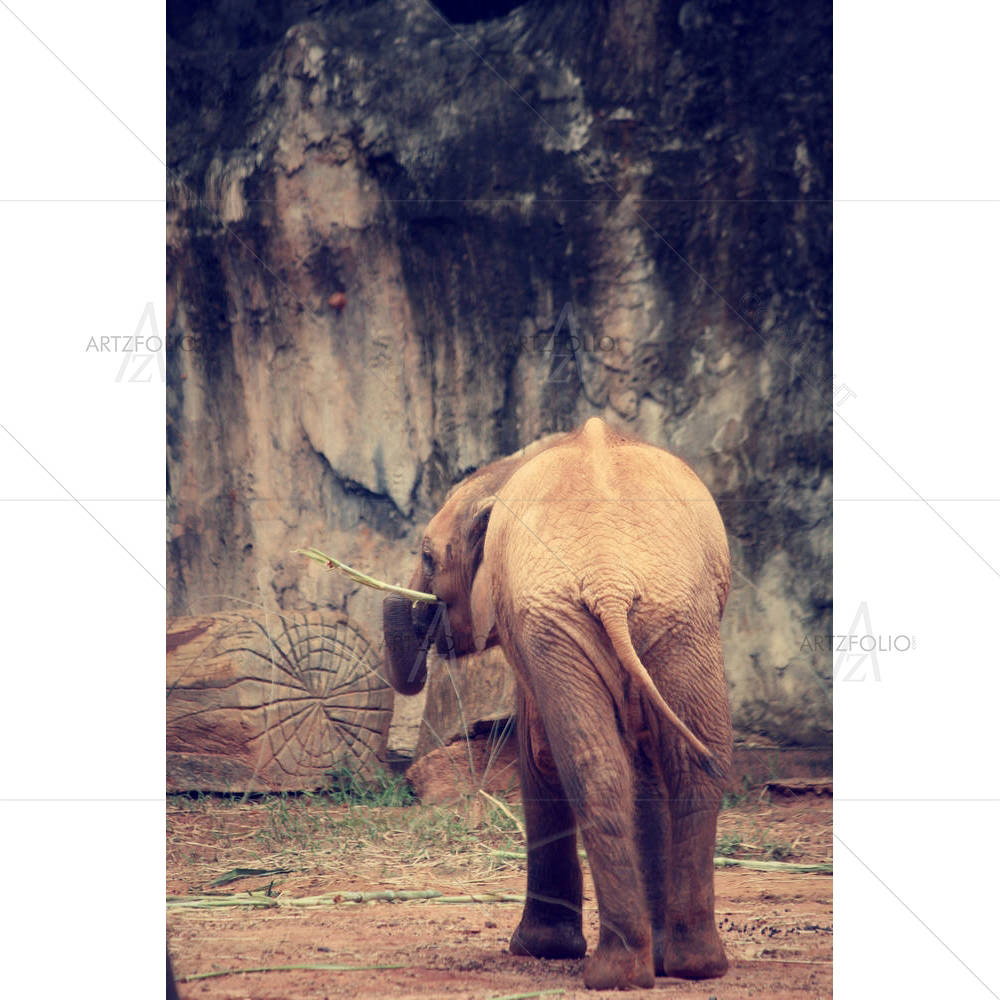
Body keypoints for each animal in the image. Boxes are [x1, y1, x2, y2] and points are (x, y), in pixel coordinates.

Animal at [382, 417, 732, 990]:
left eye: (429, 557)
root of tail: (612, 580)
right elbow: (643, 758)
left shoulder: (527, 628)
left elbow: (540, 753)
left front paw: (538, 949)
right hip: (678, 618)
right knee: (689, 762)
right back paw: (689, 965)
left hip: (584, 621)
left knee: (592, 766)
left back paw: (616, 973)